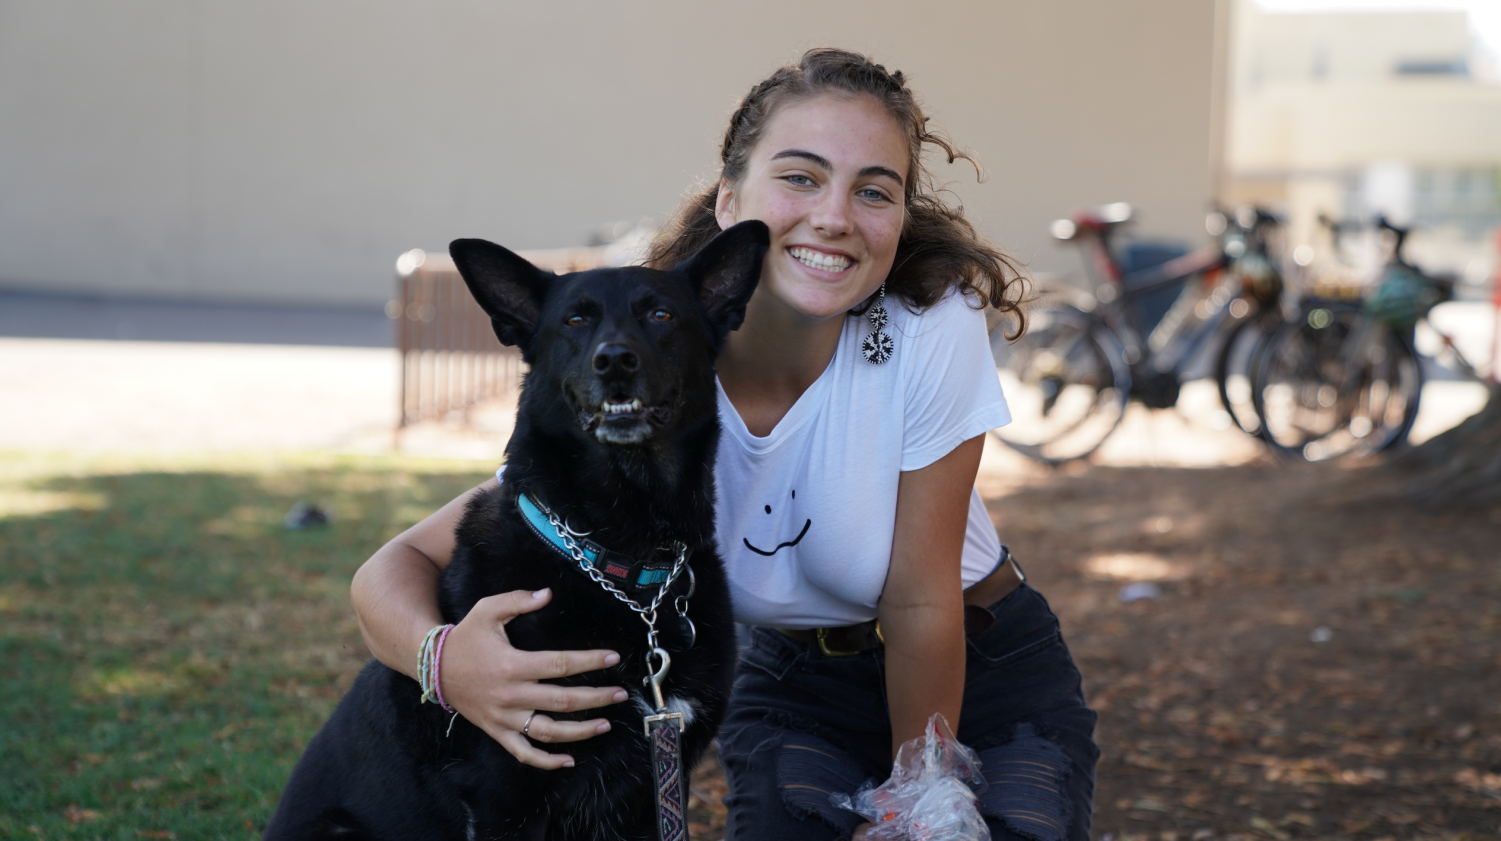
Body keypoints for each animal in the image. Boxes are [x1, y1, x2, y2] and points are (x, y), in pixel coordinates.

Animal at [262, 220, 768, 834]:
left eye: (661, 314)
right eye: (574, 320)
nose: (614, 361)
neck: (619, 551)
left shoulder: (662, 779)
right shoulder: (504, 793)